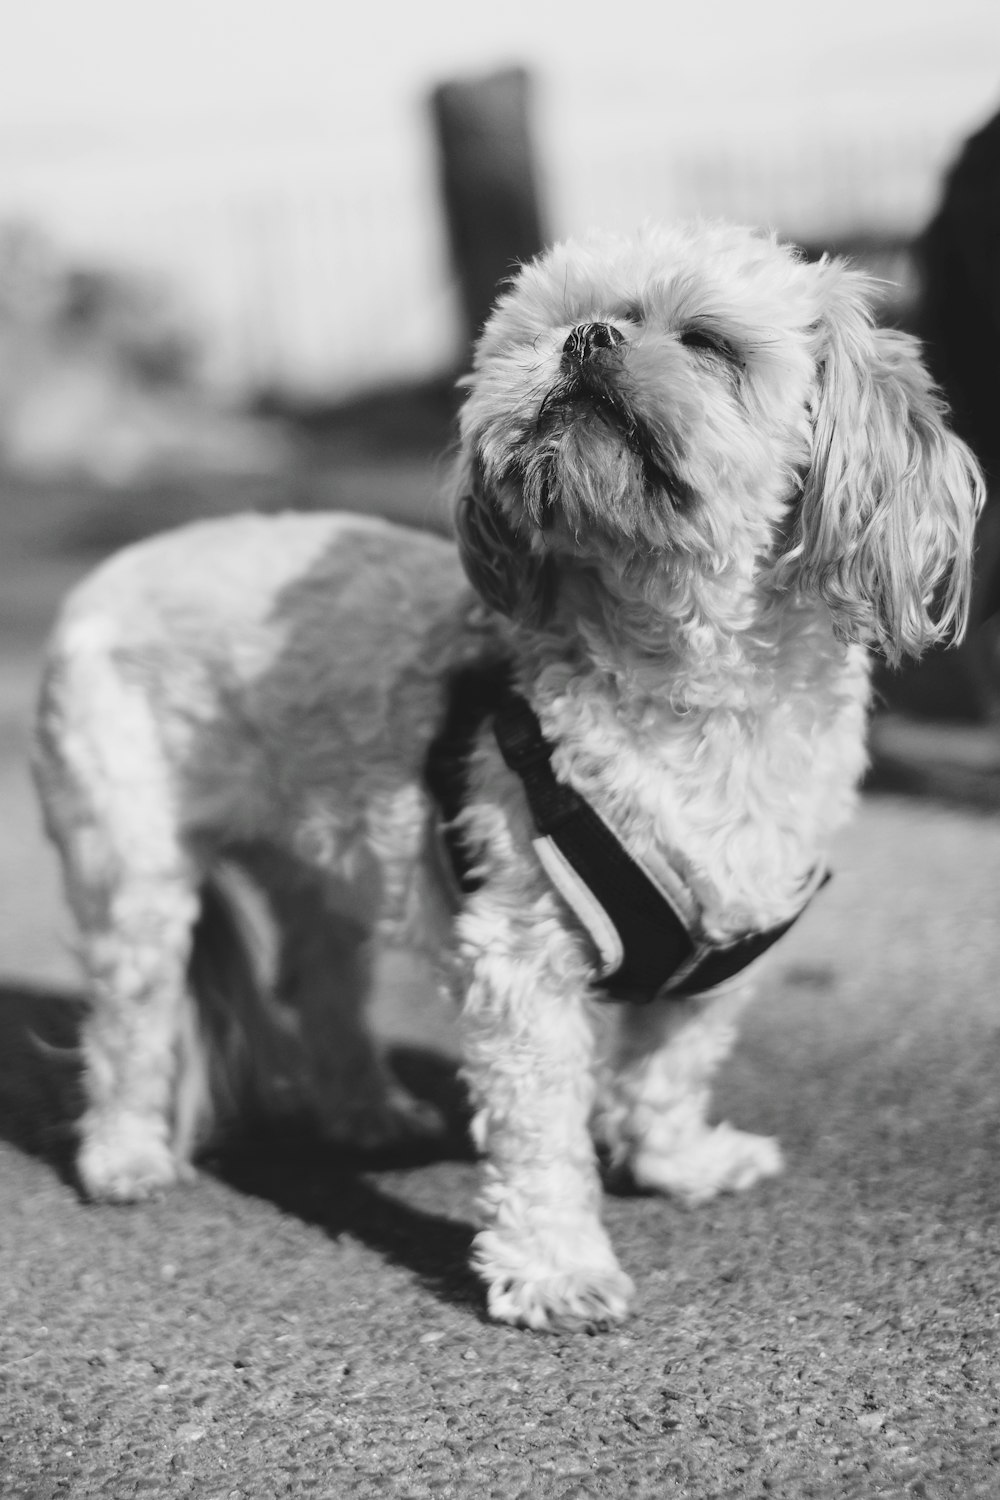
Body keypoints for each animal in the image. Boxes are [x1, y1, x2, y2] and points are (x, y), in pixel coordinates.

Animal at [35, 219, 983, 1326]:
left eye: (706, 342)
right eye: (561, 321)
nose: (589, 338)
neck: (694, 696)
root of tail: (109, 569)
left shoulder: (730, 939)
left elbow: (672, 1063)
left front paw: (676, 1162)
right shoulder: (523, 954)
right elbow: (540, 1132)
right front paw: (556, 1268)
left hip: (321, 871)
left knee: (321, 980)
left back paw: (366, 1111)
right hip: (133, 868)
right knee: (130, 1021)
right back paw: (124, 1156)